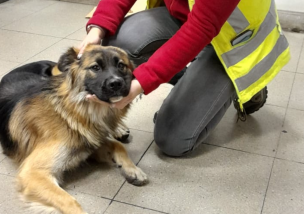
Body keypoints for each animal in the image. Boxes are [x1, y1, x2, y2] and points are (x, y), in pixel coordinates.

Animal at [0, 44, 148, 213]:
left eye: (121, 65)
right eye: (95, 67)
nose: (116, 83)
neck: (70, 112)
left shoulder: (90, 144)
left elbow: (118, 145)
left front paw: (133, 170)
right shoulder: (33, 173)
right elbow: (70, 202)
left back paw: (119, 129)